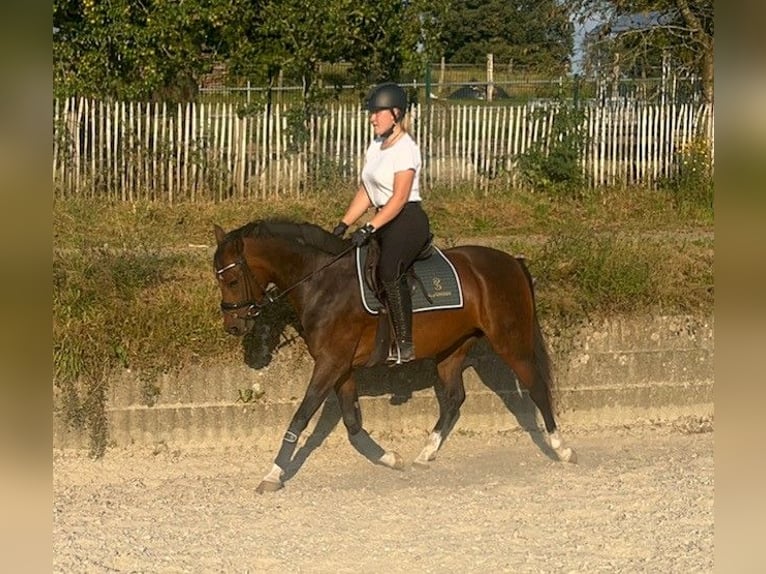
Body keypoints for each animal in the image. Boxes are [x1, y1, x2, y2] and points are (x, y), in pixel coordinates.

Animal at [212, 220, 576, 496]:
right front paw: (389, 458)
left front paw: (273, 474)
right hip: (452, 348)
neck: (323, 283)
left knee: (536, 387)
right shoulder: (341, 366)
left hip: (510, 341)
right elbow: (352, 422)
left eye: (231, 279)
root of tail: (512, 261)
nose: (233, 325)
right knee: (454, 398)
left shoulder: (330, 363)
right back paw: (425, 454)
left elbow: (300, 417)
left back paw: (561, 448)